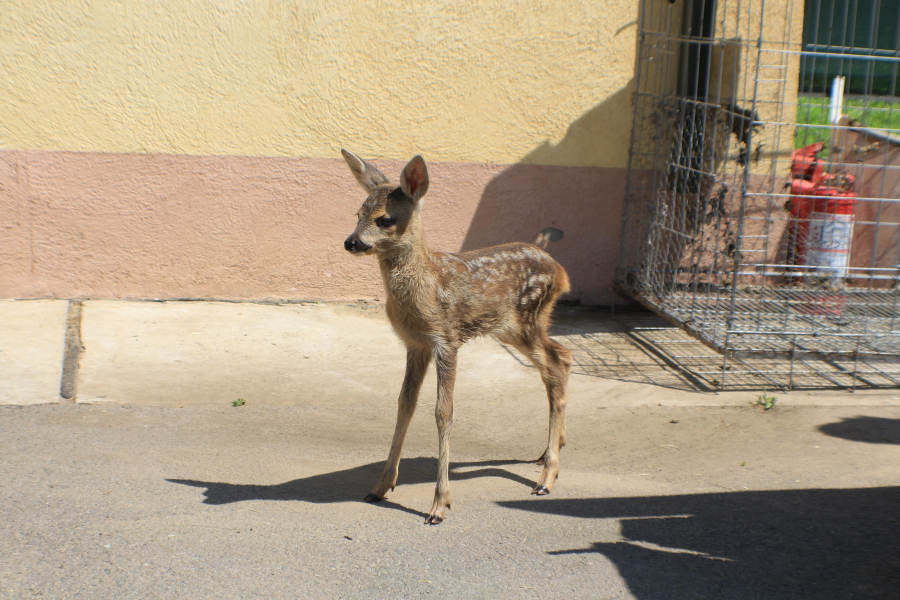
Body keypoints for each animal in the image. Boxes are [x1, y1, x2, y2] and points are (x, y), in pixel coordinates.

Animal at [342, 150, 572, 524]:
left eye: (386, 219)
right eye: (358, 213)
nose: (351, 241)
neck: (425, 287)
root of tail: (560, 271)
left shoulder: (446, 339)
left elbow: (443, 411)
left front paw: (439, 504)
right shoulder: (415, 343)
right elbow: (404, 404)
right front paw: (381, 486)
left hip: (527, 318)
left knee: (554, 365)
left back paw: (546, 478)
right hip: (515, 328)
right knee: (562, 357)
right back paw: (550, 453)